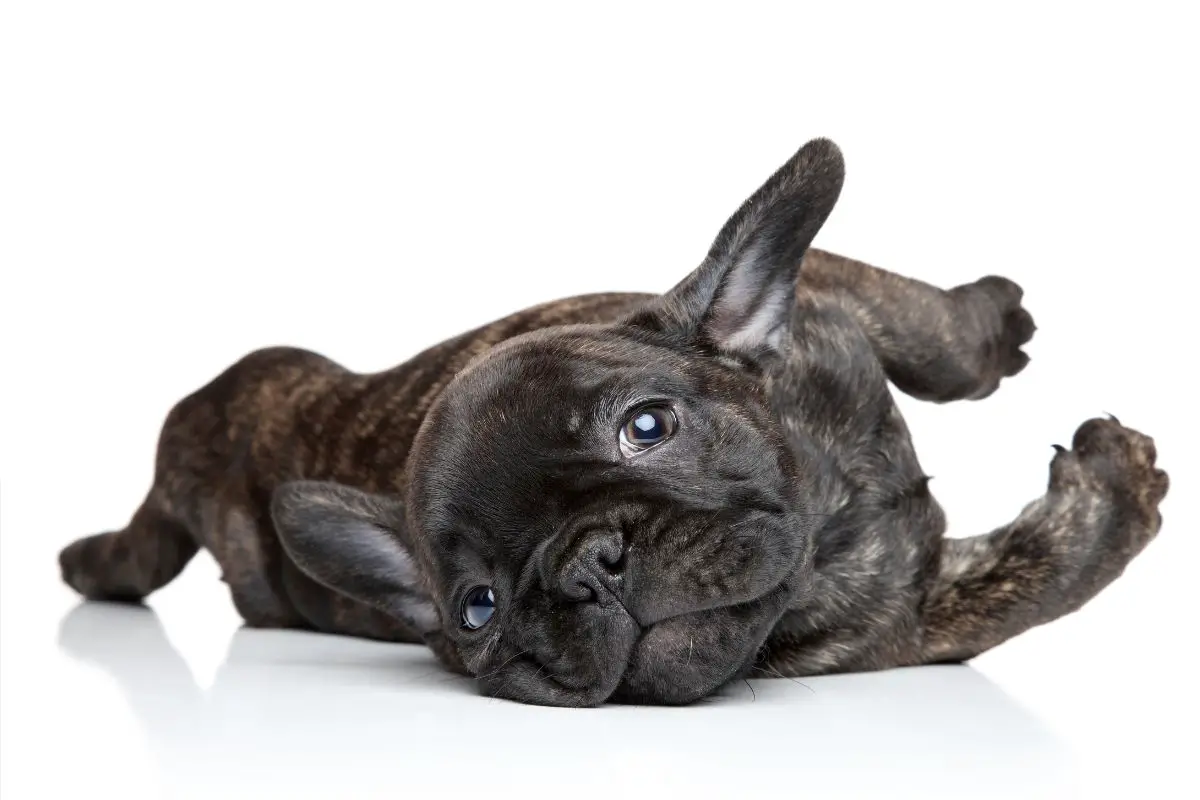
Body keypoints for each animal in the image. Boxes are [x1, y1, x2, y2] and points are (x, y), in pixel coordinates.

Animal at [58, 137, 1171, 705]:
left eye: (647, 427)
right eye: (477, 605)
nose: (585, 565)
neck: (829, 495)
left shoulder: (824, 293)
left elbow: (922, 322)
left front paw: (990, 326)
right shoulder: (909, 620)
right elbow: (1044, 574)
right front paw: (1116, 484)